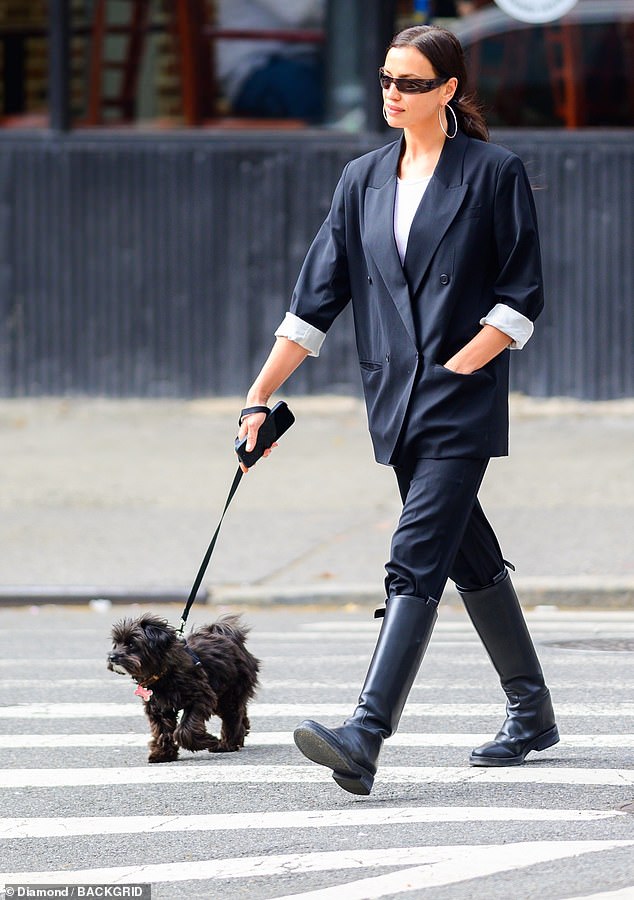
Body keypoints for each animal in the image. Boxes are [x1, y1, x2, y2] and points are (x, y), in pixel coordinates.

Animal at [107, 612, 258, 760]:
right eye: (116, 643)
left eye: (131, 644)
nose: (112, 657)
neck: (162, 672)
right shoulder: (158, 707)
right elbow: (162, 730)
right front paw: (163, 754)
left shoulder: (201, 697)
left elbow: (184, 729)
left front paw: (208, 740)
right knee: (239, 712)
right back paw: (240, 735)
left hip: (229, 693)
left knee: (232, 716)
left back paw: (226, 744)